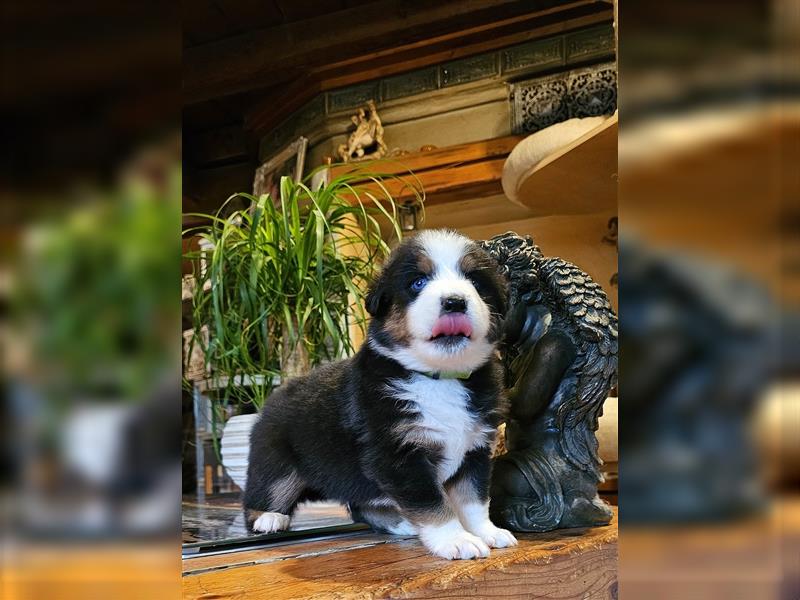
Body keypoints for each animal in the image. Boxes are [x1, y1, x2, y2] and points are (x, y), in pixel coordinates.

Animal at [245, 229, 520, 556]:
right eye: (418, 282)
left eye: (476, 283)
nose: (454, 302)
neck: (440, 378)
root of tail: (276, 395)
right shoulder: (398, 454)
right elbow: (433, 502)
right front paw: (456, 540)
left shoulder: (475, 448)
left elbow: (474, 500)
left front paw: (487, 532)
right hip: (275, 461)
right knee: (264, 494)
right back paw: (269, 518)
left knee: (360, 506)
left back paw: (401, 524)